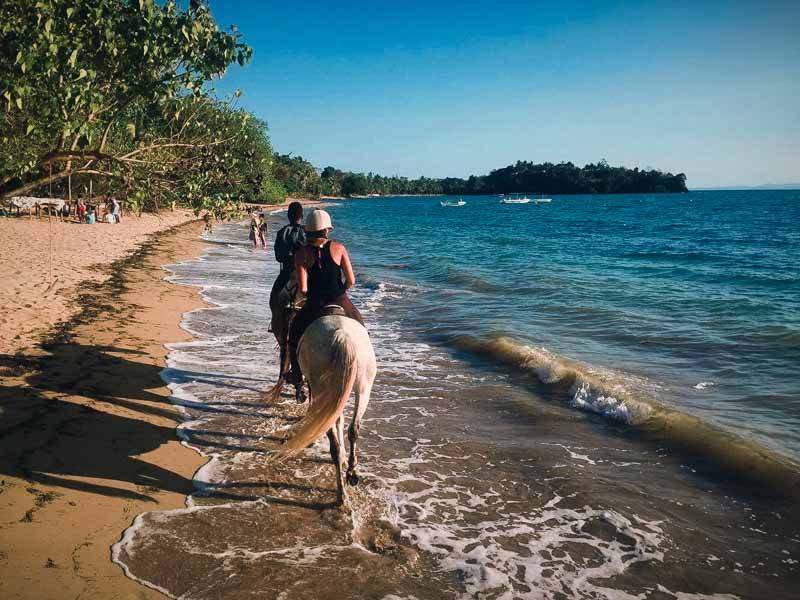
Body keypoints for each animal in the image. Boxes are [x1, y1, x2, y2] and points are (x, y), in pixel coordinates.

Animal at [276, 314, 376, 506]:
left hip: (323, 387)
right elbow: (339, 419)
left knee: (333, 442)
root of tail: (342, 335)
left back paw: (340, 494)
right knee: (353, 429)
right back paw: (351, 473)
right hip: (363, 387)